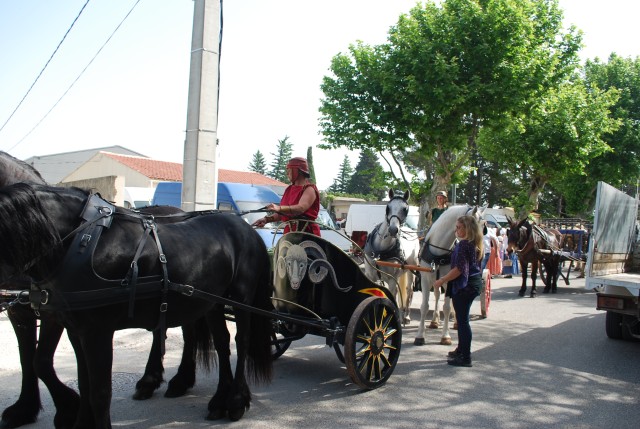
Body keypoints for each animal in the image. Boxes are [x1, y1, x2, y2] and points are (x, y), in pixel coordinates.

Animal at [0, 182, 272, 426]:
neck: (82, 241)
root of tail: (248, 229)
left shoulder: (97, 332)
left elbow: (100, 392)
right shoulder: (75, 330)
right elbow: (83, 384)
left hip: (240, 299)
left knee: (241, 341)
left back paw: (236, 400)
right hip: (213, 303)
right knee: (222, 343)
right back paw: (218, 400)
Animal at [364, 189, 420, 322]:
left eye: (405, 209)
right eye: (388, 207)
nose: (394, 229)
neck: (381, 251)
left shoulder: (391, 279)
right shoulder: (370, 275)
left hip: (411, 270)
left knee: (408, 291)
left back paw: (406, 315)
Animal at [416, 203, 484, 344]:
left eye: (484, 226)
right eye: (474, 226)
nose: (479, 253)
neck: (438, 252)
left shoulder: (449, 281)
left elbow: (447, 307)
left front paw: (445, 336)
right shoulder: (425, 279)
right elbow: (424, 306)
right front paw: (420, 335)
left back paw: (456, 323)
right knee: (437, 295)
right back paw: (434, 321)